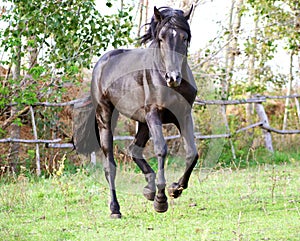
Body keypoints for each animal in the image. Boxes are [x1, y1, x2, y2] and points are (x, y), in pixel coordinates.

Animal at [74, 5, 198, 217]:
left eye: (184, 37)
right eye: (162, 38)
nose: (173, 77)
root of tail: (101, 63)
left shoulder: (183, 115)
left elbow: (192, 153)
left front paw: (175, 189)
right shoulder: (154, 114)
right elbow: (161, 149)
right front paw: (161, 201)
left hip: (143, 122)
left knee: (134, 149)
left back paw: (149, 189)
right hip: (106, 117)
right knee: (110, 165)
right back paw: (115, 209)